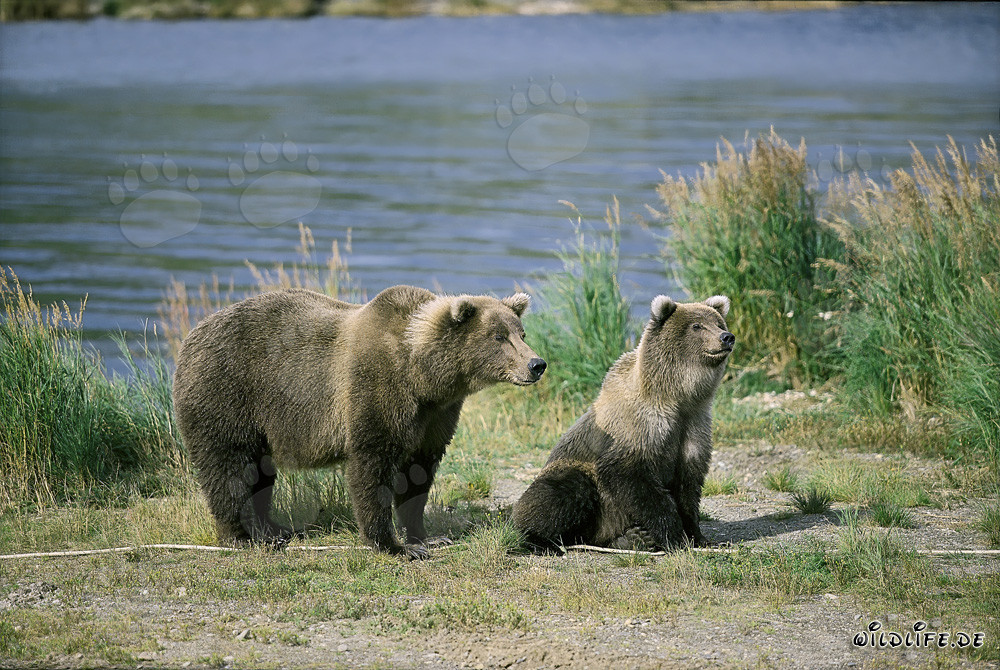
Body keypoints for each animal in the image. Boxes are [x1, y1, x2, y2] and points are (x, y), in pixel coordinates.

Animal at [172, 285, 546, 559]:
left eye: (522, 333)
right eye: (498, 337)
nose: (537, 364)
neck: (422, 373)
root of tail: (191, 336)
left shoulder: (435, 415)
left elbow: (419, 473)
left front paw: (425, 537)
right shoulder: (377, 390)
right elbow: (372, 467)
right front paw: (393, 545)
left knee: (260, 472)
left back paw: (273, 529)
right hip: (227, 393)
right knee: (229, 467)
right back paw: (240, 535)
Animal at [512, 294, 733, 551]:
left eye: (718, 323)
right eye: (697, 326)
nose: (727, 337)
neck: (676, 397)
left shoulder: (694, 425)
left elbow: (689, 485)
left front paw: (700, 536)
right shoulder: (637, 425)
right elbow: (632, 478)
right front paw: (674, 535)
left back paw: (633, 537)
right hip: (584, 488)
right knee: (563, 491)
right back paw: (540, 540)